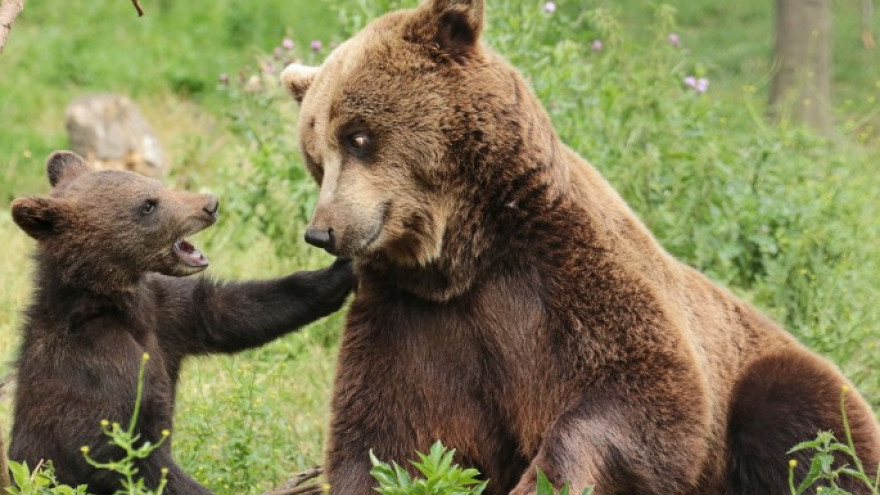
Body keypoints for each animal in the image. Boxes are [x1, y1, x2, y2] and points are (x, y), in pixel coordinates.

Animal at [282, 0, 880, 492]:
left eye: (358, 137)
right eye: (315, 156)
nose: (323, 231)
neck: (465, 255)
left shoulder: (566, 274)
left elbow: (645, 391)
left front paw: (543, 480)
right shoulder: (415, 322)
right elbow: (388, 436)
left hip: (769, 372)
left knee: (810, 426)